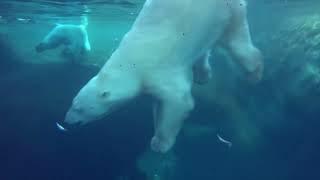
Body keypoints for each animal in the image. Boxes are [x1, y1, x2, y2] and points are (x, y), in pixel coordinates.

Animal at [58, 0, 264, 153]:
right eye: (72, 103)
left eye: (80, 108)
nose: (67, 122)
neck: (129, 61)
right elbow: (158, 102)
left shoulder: (158, 70)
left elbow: (178, 102)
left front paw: (159, 143)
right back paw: (202, 75)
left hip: (227, 13)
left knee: (238, 44)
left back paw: (254, 73)